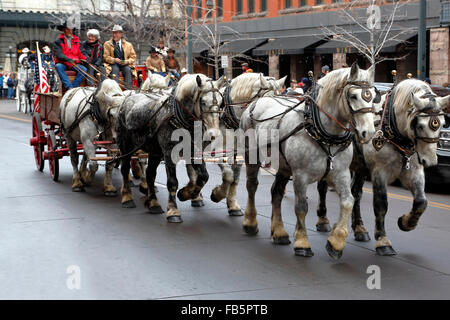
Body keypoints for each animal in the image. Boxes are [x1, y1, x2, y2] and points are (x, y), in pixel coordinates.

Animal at [117, 73, 225, 222]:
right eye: (203, 102)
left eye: (221, 103)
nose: (213, 134)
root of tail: (127, 98)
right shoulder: (169, 153)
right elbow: (172, 182)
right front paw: (173, 211)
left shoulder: (194, 152)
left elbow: (203, 176)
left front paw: (186, 193)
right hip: (126, 145)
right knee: (125, 169)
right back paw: (127, 197)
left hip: (155, 151)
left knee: (150, 174)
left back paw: (154, 203)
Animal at [239, 63, 376, 258]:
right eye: (353, 96)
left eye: (373, 95)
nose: (368, 132)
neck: (321, 132)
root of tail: (258, 101)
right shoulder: (300, 176)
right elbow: (301, 207)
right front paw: (302, 243)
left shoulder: (341, 173)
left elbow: (348, 201)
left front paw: (336, 242)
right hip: (252, 156)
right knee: (252, 185)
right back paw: (250, 223)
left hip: (284, 166)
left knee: (276, 192)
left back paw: (279, 232)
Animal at [314, 78, 448, 255]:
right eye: (420, 125)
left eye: (442, 124)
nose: (431, 161)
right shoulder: (379, 171)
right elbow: (381, 204)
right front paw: (383, 241)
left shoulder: (414, 170)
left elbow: (421, 202)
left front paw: (406, 223)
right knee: (322, 188)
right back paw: (323, 220)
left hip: (360, 167)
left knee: (356, 193)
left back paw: (359, 228)